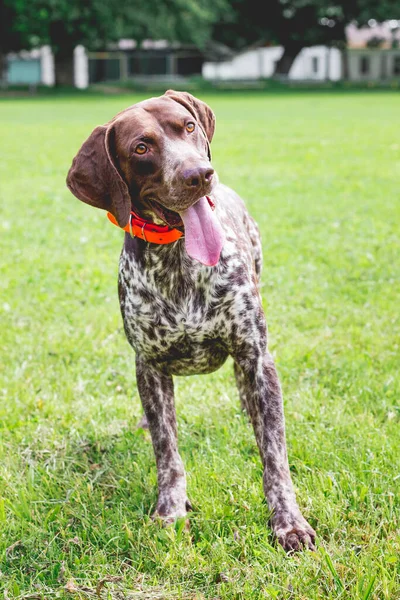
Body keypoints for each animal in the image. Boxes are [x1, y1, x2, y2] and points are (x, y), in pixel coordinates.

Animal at [66, 90, 316, 552]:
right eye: (141, 148)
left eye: (188, 126)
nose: (199, 174)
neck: (178, 258)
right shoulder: (149, 367)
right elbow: (168, 452)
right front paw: (170, 511)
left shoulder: (256, 354)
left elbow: (274, 455)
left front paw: (288, 522)